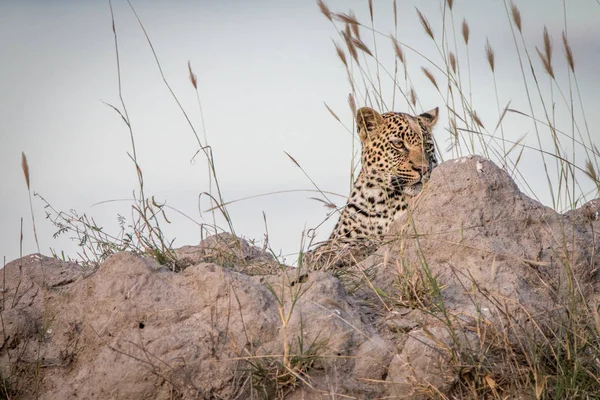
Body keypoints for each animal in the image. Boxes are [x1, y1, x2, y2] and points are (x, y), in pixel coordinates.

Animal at [308, 104, 438, 270]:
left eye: (427, 146)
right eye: (398, 144)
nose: (423, 169)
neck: (382, 200)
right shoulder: (344, 236)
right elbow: (331, 247)